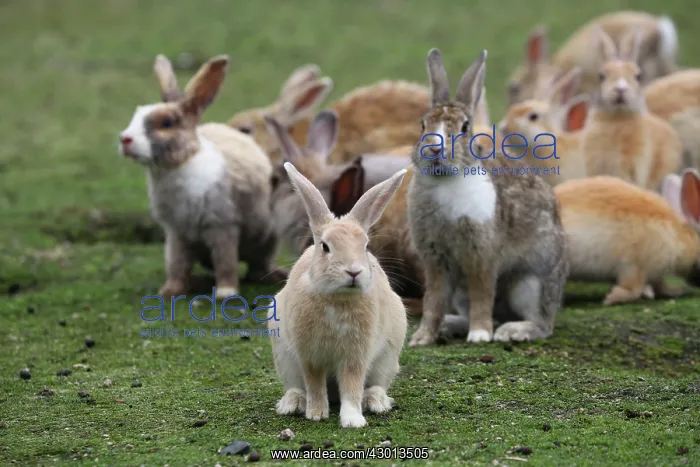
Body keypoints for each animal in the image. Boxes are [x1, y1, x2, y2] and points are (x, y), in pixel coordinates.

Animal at [118, 54, 286, 301]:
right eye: (136, 114)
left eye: (167, 123)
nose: (125, 139)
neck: (179, 165)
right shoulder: (176, 233)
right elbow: (176, 265)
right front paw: (169, 292)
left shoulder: (222, 225)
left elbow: (226, 261)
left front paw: (225, 293)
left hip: (267, 239)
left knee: (257, 266)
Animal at [269, 162, 408, 428]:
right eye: (325, 246)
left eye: (365, 246)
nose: (353, 271)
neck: (337, 299)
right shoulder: (309, 357)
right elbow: (314, 384)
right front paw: (316, 413)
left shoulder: (356, 355)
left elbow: (352, 385)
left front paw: (353, 420)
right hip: (284, 359)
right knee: (296, 386)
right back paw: (294, 403)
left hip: (387, 359)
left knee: (376, 385)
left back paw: (375, 401)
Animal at [407, 48, 568, 347]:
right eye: (423, 125)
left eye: (464, 127)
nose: (433, 150)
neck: (445, 179)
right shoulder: (435, 260)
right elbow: (433, 301)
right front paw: (422, 337)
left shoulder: (481, 255)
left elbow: (482, 295)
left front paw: (480, 337)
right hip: (462, 293)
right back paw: (450, 326)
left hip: (530, 283)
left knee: (542, 324)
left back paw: (510, 331)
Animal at [555, 172, 700, 305]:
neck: (682, 239)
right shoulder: (635, 266)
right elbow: (633, 289)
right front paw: (612, 298)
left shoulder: (653, 273)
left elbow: (660, 285)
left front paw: (676, 290)